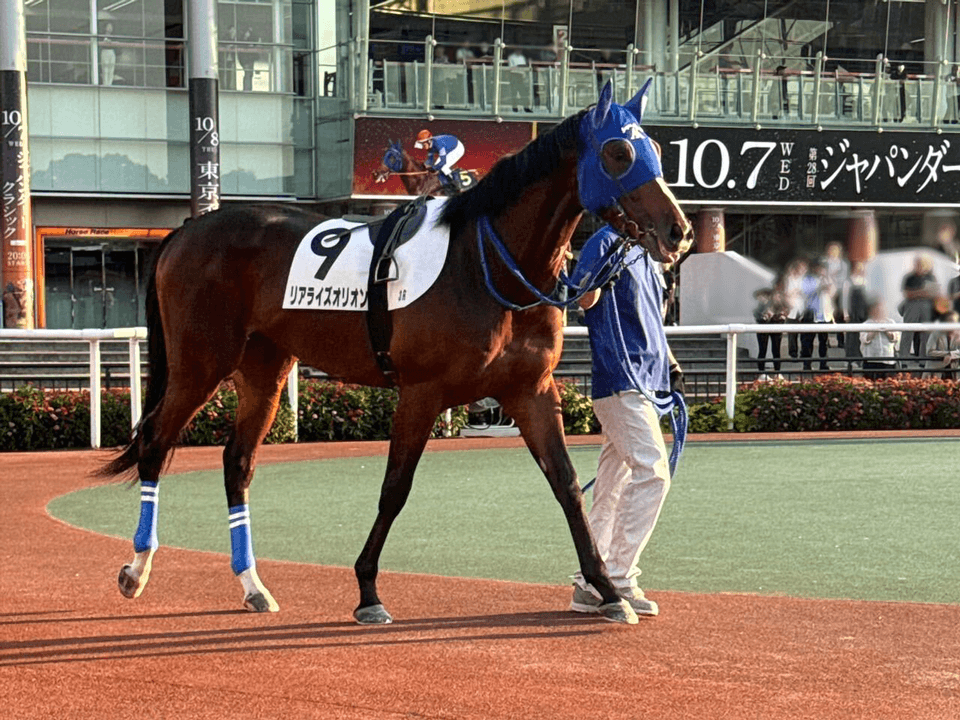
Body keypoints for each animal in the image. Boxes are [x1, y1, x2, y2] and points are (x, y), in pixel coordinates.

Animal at [101, 80, 693, 625]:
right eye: (618, 153)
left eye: (654, 151)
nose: (680, 231)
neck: (490, 267)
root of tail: (187, 228)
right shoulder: (421, 392)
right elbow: (395, 487)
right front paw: (367, 590)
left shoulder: (530, 390)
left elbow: (567, 484)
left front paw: (609, 591)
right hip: (200, 364)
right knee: (154, 443)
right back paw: (136, 570)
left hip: (264, 370)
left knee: (236, 463)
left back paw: (252, 586)